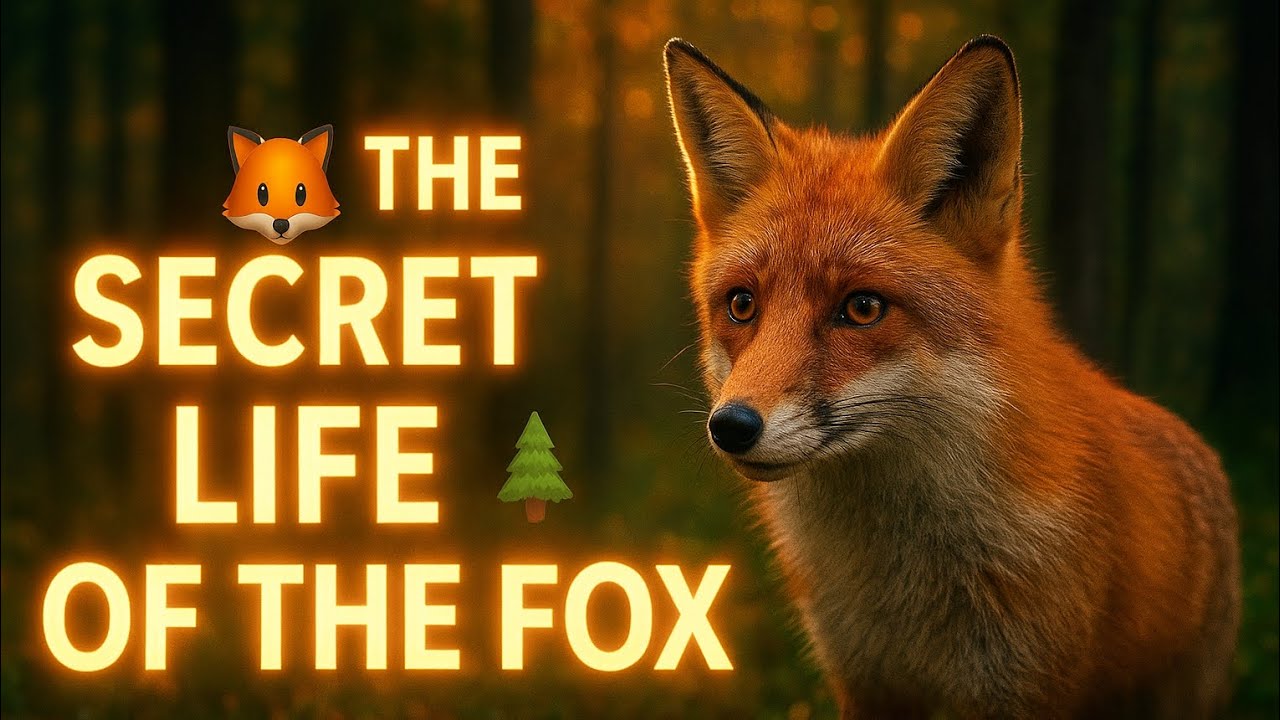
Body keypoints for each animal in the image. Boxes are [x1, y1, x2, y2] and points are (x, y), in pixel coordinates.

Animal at [664, 36, 1239, 718]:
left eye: (862, 308)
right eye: (742, 305)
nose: (732, 425)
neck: (902, 588)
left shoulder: (1020, 684)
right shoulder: (864, 681)